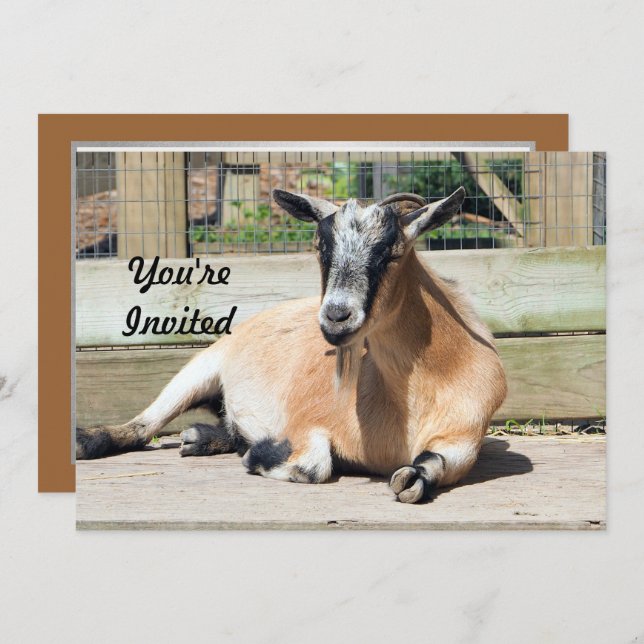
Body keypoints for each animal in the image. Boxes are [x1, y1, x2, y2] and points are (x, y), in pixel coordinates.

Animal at [76, 187, 507, 503]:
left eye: (393, 252)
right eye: (321, 247)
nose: (336, 316)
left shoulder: (465, 434)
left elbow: (426, 470)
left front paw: (413, 477)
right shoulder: (304, 420)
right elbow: (312, 465)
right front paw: (261, 453)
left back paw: (201, 437)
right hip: (203, 366)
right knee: (142, 426)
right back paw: (87, 440)